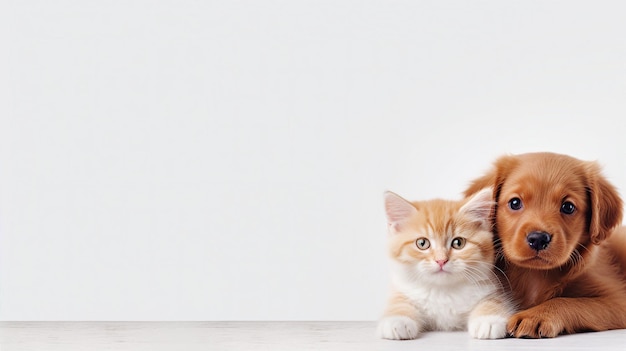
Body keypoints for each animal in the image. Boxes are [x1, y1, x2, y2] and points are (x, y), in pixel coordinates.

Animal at [376, 190, 512, 340]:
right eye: (422, 243)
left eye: (458, 243)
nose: (441, 260)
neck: (442, 291)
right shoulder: (402, 289)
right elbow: (399, 302)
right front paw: (398, 320)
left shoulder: (489, 288)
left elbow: (493, 301)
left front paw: (488, 320)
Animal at [464, 153, 624, 340]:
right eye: (515, 203)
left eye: (568, 207)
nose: (538, 239)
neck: (534, 275)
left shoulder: (618, 299)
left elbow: (570, 301)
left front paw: (535, 316)